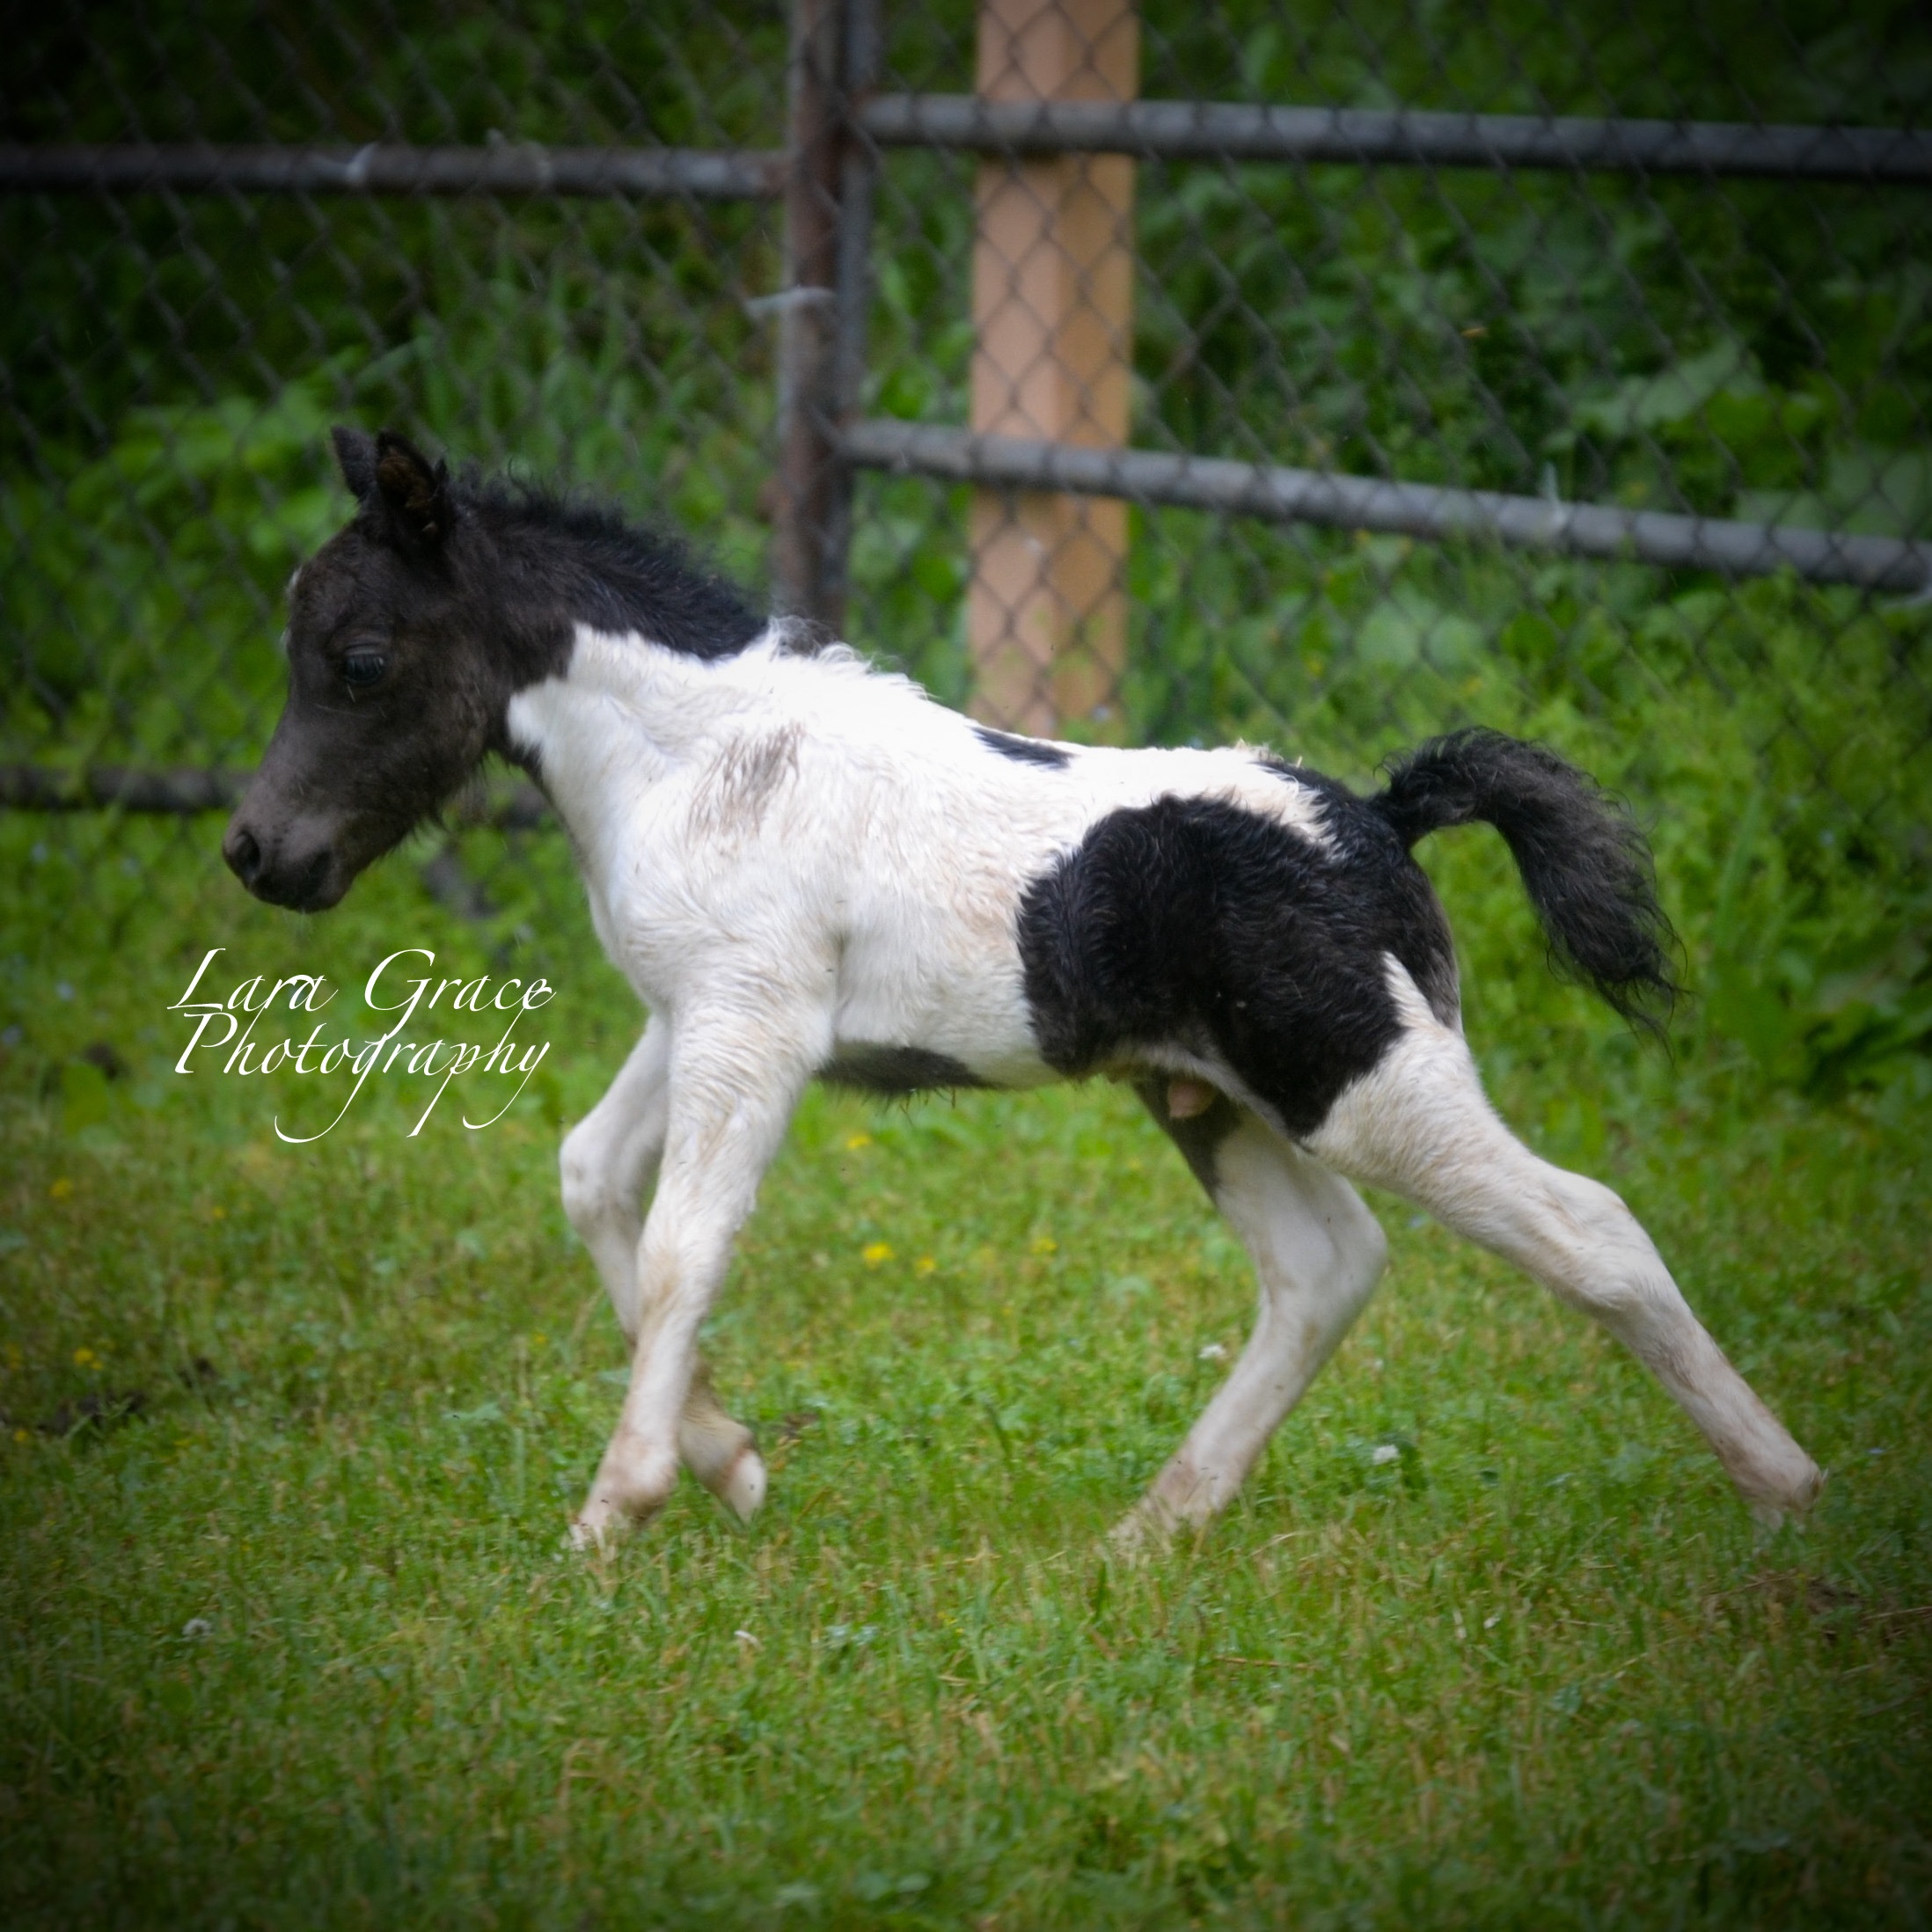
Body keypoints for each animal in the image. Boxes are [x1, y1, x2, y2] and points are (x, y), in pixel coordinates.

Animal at [223, 428, 1822, 1549]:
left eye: (358, 658)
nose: (259, 852)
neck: (700, 755)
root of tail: (1373, 815)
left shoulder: (750, 1027)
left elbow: (685, 1245)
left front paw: (618, 1507)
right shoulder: (690, 1015)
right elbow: (589, 1181)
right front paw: (731, 1464)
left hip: (1363, 1077)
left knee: (1590, 1229)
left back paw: (1790, 1495)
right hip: (1210, 1094)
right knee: (1323, 1268)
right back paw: (1150, 1532)